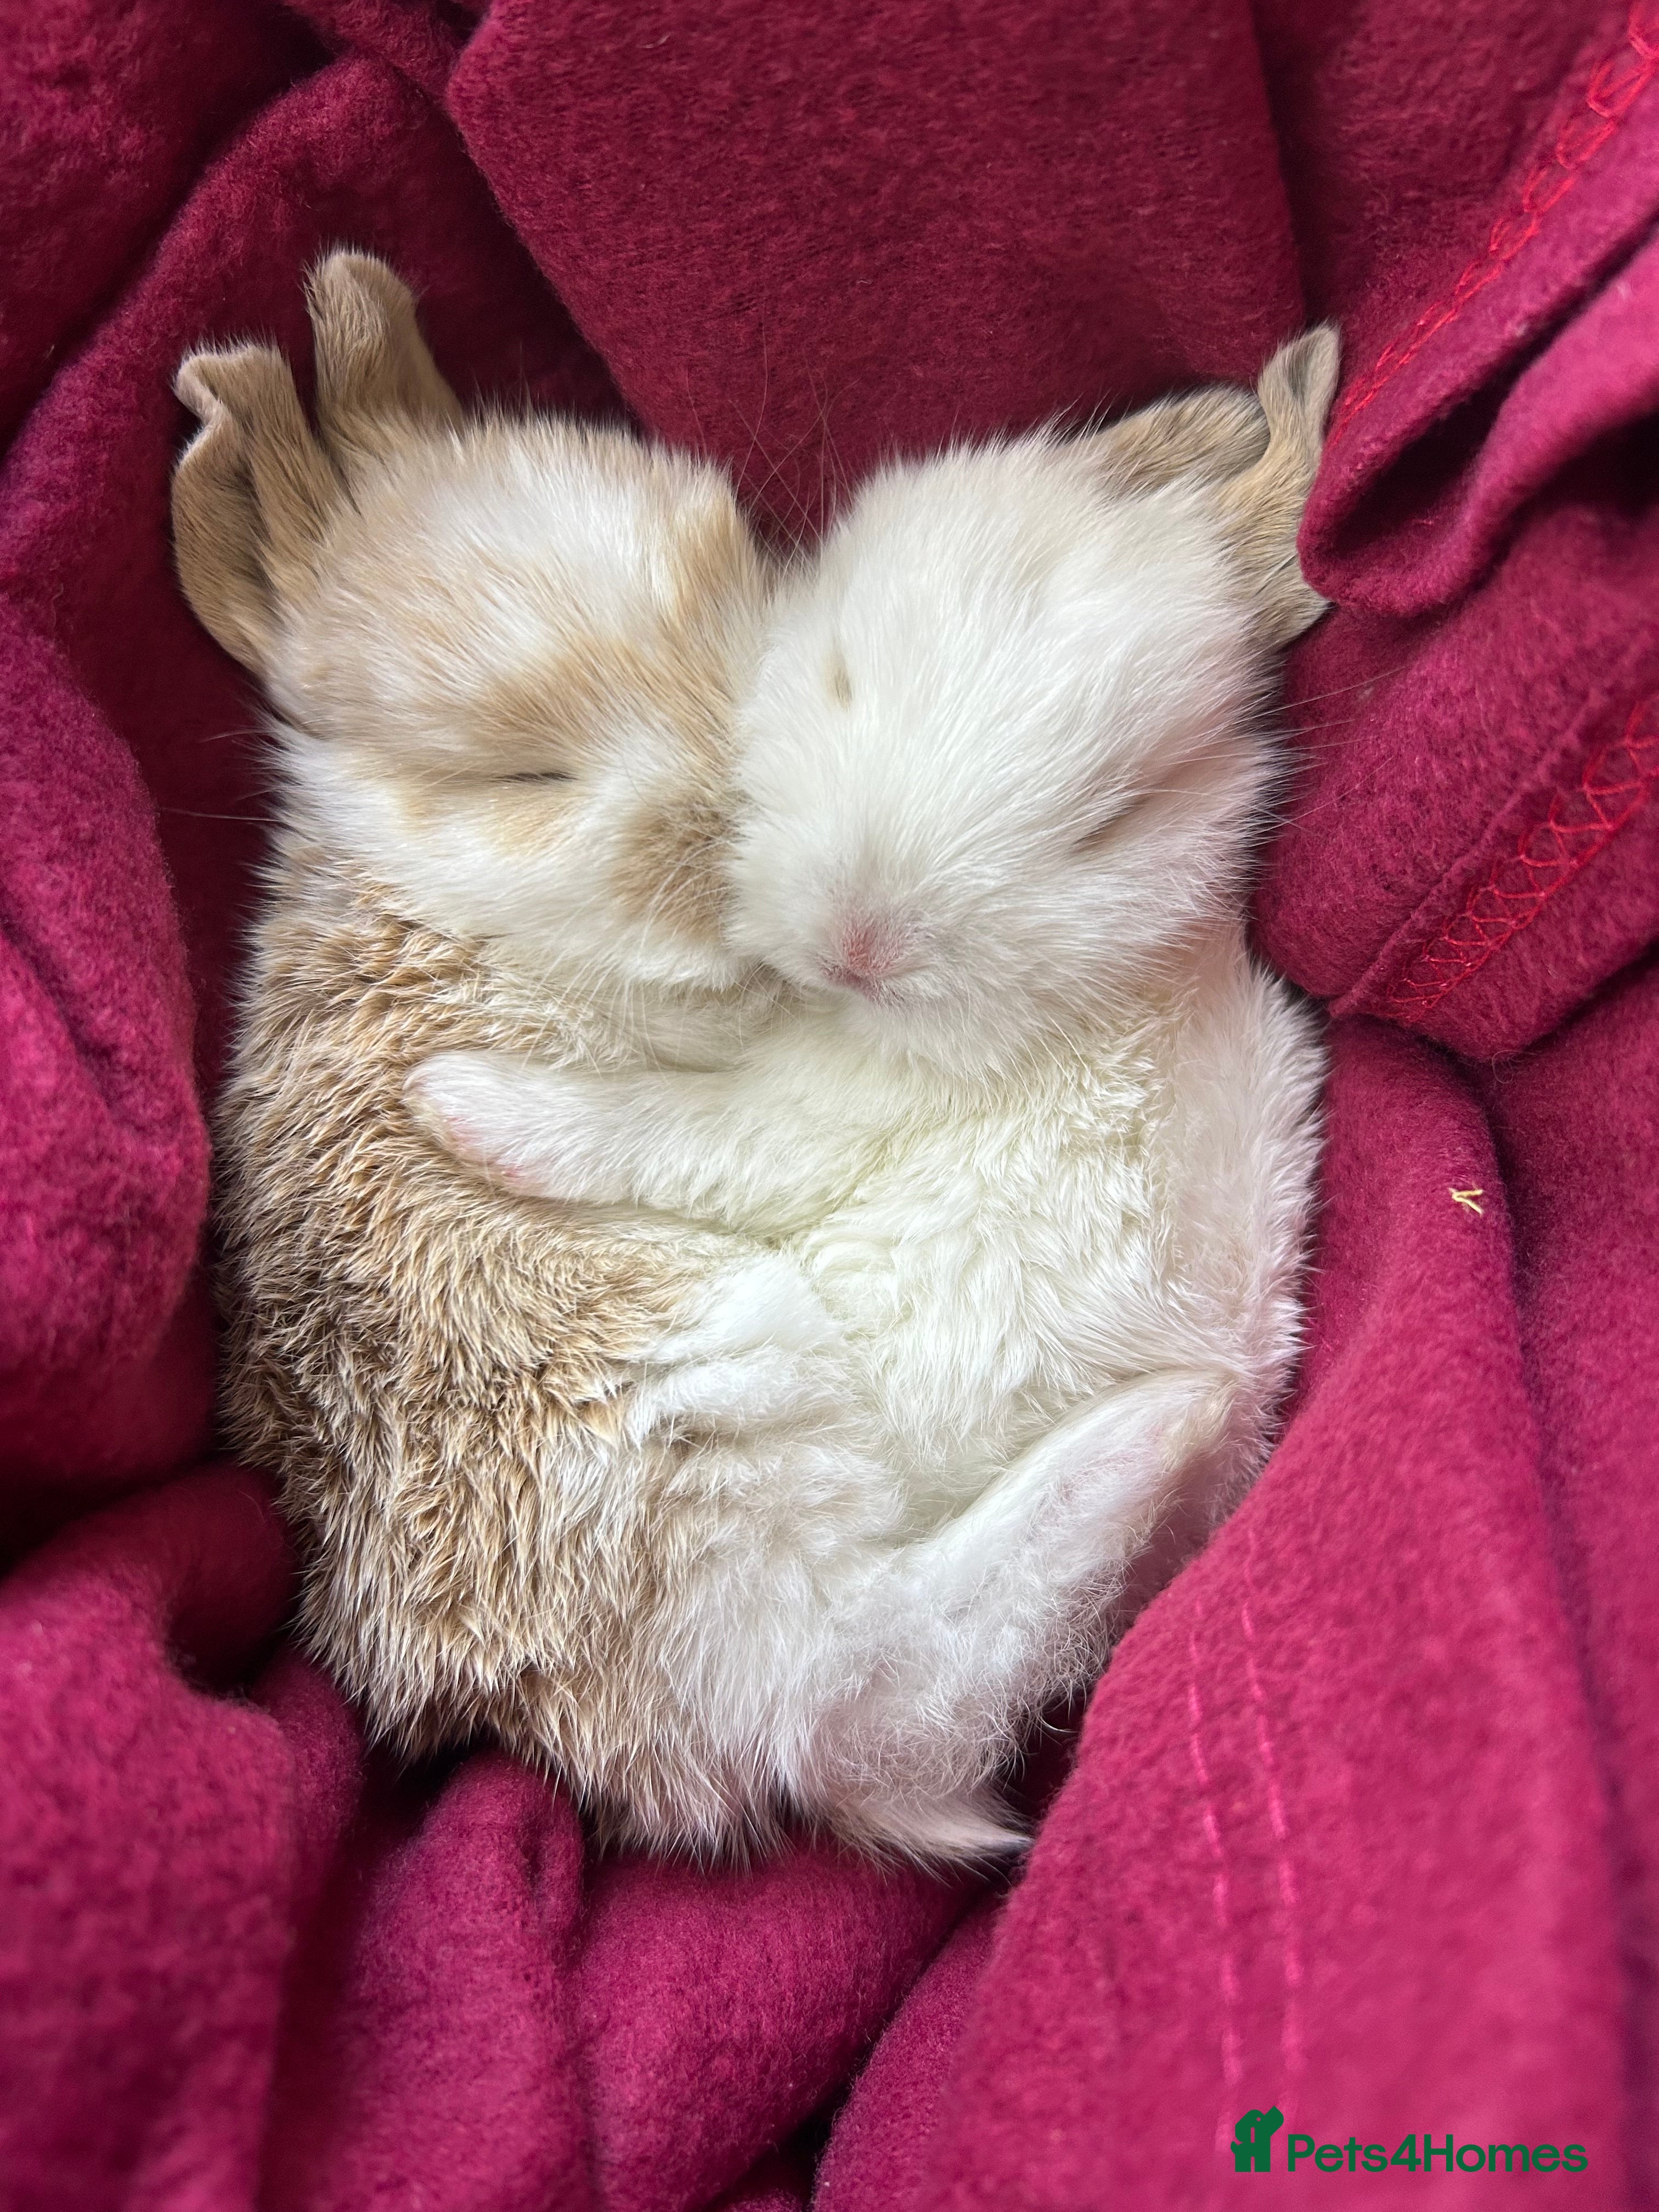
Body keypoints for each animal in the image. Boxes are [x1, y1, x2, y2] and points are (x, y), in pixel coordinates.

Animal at [410, 330, 1338, 1845]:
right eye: (844, 676)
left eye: (1117, 819)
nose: (867, 939)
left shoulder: (808, 1119)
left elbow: (670, 1128)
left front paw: (467, 1099)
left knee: (897, 1672)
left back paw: (1158, 1419)